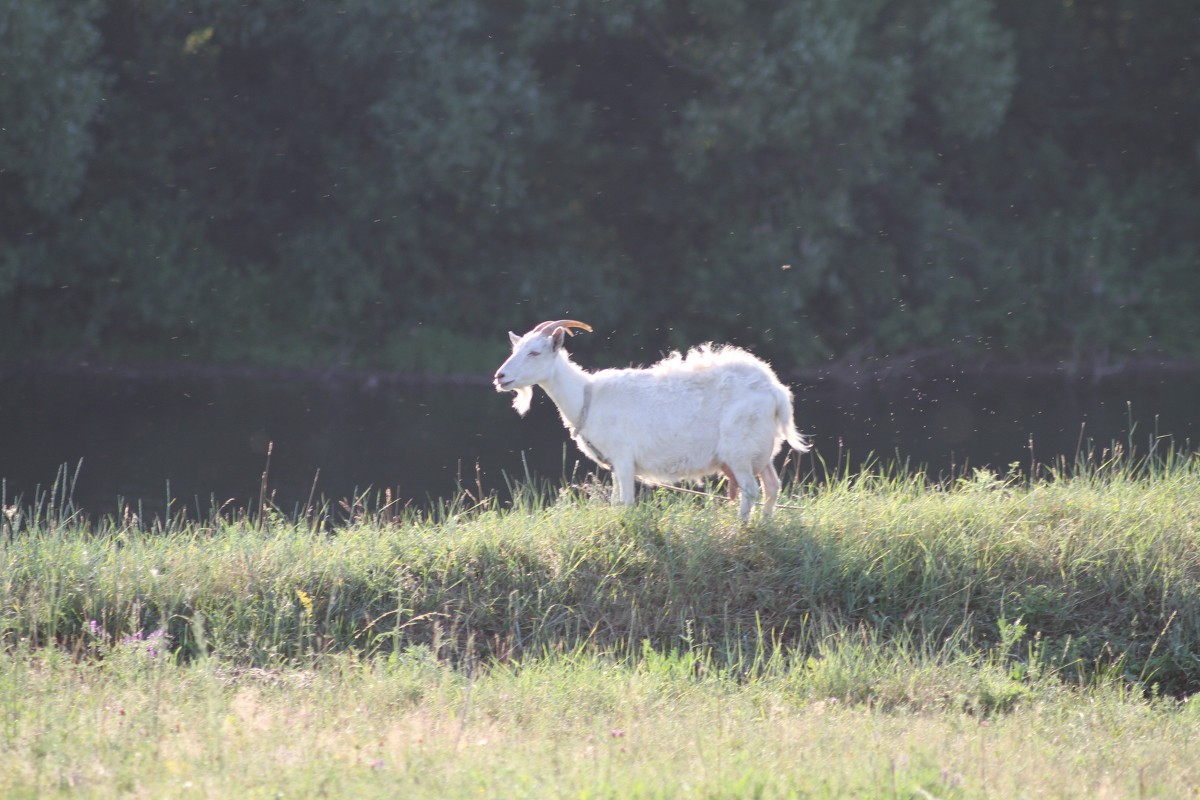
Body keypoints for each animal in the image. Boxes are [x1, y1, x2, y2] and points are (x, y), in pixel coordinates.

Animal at [492, 321, 811, 522]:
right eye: (514, 350)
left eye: (535, 352)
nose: (500, 376)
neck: (587, 397)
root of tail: (775, 391)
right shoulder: (616, 463)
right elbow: (616, 501)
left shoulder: (623, 457)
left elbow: (626, 502)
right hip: (760, 449)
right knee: (772, 486)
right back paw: (764, 525)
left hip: (740, 449)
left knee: (750, 489)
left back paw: (739, 529)